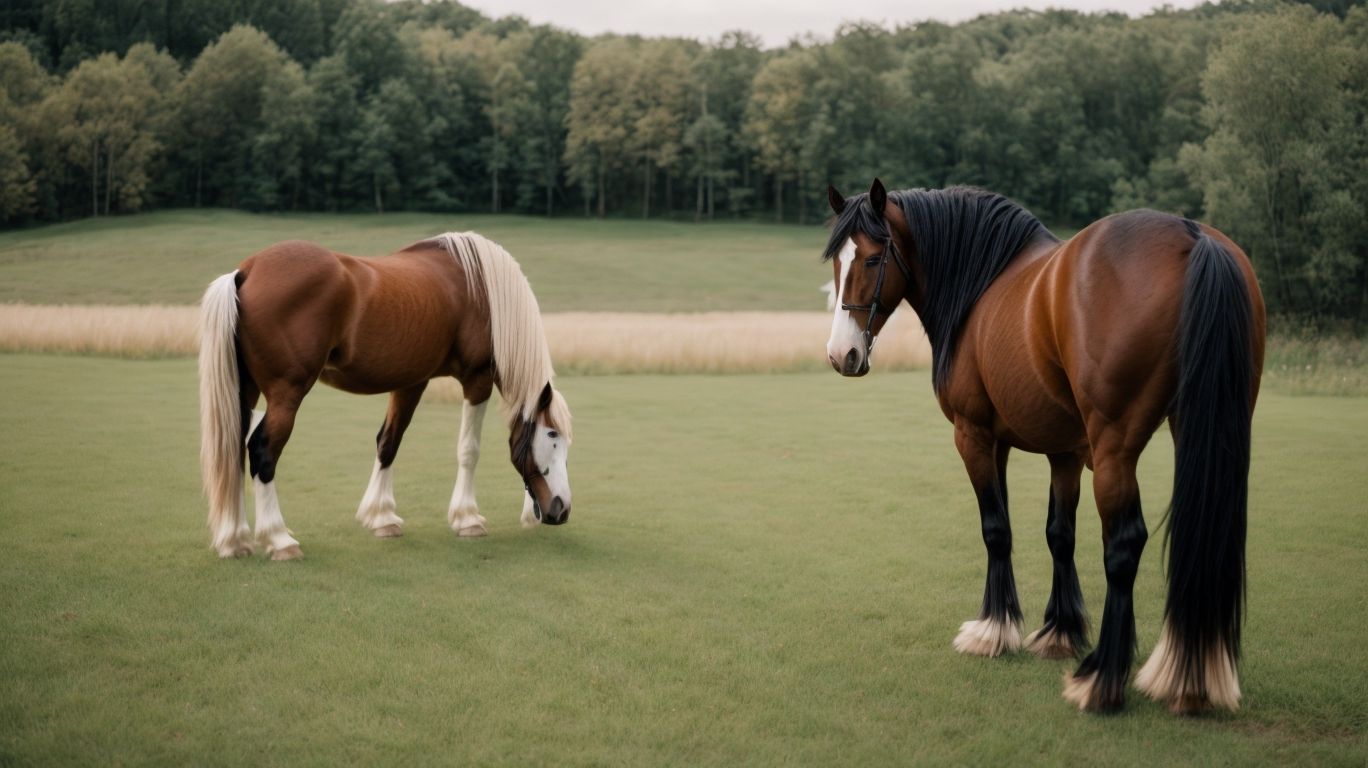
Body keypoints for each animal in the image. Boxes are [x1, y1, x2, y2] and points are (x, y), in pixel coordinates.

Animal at [197, 232, 574, 561]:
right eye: (552, 435)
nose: (561, 509)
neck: (483, 290)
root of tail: (246, 272)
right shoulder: (477, 379)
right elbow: (469, 451)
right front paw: (467, 519)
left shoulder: (411, 382)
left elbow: (388, 442)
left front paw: (382, 518)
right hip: (286, 394)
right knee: (262, 452)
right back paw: (279, 539)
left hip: (245, 390)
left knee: (234, 449)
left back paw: (235, 540)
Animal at [821, 180, 1264, 714]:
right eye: (836, 260)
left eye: (871, 258)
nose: (841, 354)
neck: (981, 282)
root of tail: (1191, 235)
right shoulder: (1064, 452)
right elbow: (1060, 534)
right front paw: (1060, 631)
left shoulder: (976, 436)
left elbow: (996, 529)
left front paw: (993, 630)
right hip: (1214, 432)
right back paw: (1190, 677)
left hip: (1115, 449)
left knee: (1124, 545)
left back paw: (1102, 681)